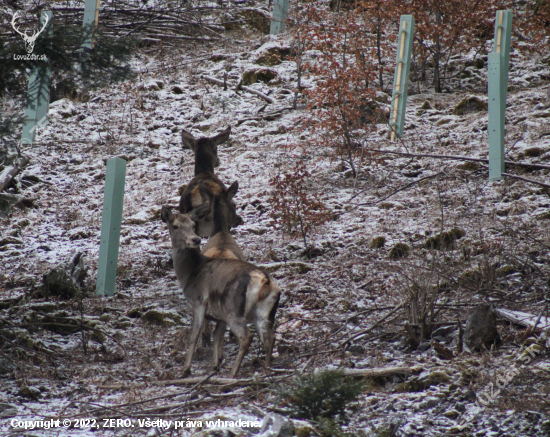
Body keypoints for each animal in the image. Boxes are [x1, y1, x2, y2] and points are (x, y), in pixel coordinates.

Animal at [160, 206, 280, 376]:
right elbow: (217, 334)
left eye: (193, 225)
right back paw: (266, 370)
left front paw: (186, 369)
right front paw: (215, 365)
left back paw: (233, 374)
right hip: (264, 313)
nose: (196, 240)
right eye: (175, 226)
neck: (190, 274)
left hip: (234, 311)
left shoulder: (198, 302)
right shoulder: (219, 313)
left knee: (247, 336)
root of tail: (265, 283)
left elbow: (194, 335)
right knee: (270, 337)